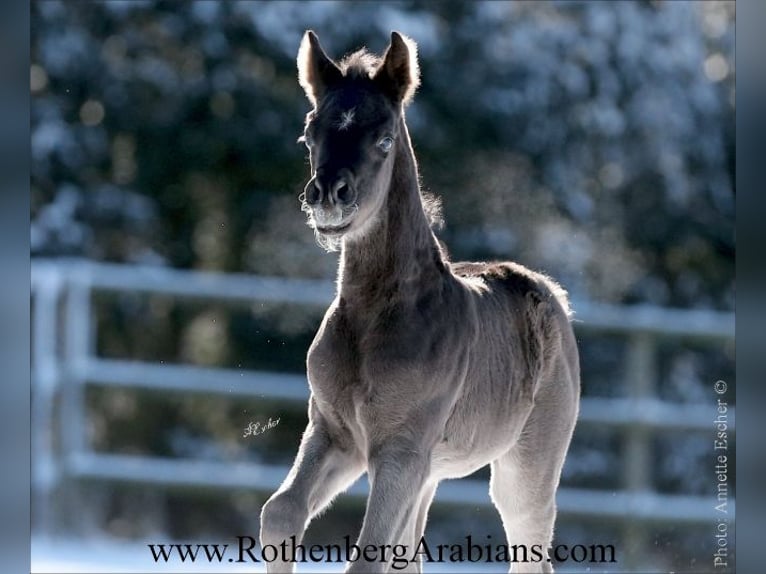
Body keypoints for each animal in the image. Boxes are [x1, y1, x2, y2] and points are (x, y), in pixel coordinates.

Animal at [259, 30, 580, 574]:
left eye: (384, 139)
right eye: (309, 134)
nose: (328, 195)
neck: (375, 320)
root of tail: (551, 294)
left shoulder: (401, 449)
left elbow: (367, 556)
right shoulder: (334, 432)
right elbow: (280, 512)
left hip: (526, 465)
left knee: (529, 545)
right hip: (430, 474)